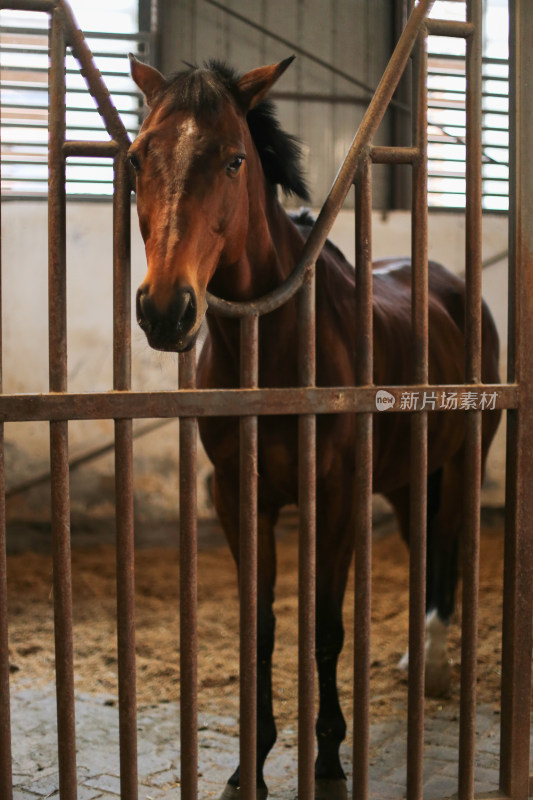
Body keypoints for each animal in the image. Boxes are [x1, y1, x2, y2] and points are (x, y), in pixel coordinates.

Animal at [128, 56, 498, 800]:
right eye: (135, 158)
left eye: (234, 158)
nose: (164, 309)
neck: (273, 345)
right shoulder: (238, 498)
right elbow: (261, 625)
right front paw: (251, 762)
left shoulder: (335, 500)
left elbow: (326, 627)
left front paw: (327, 756)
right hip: (405, 481)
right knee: (423, 546)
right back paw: (416, 657)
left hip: (461, 464)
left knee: (447, 547)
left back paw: (437, 663)